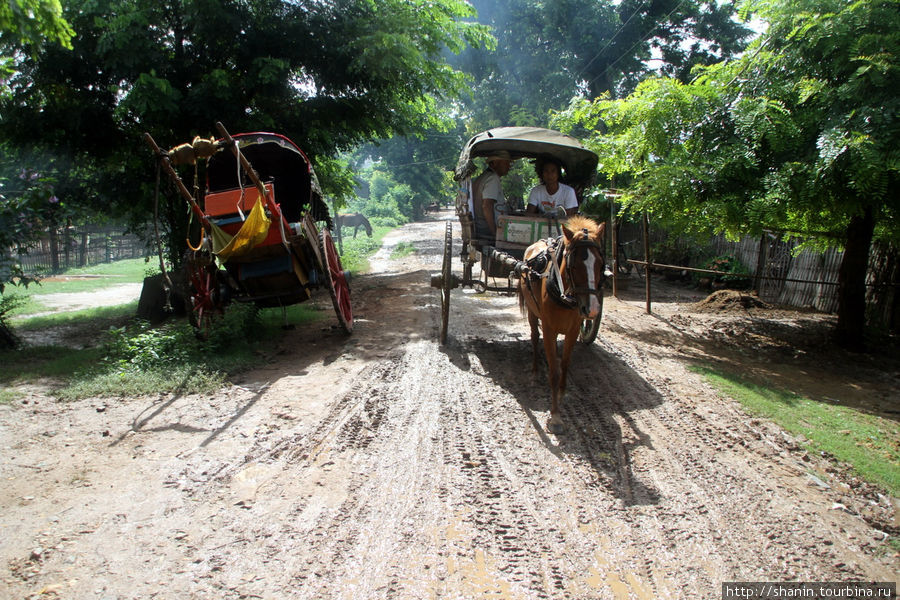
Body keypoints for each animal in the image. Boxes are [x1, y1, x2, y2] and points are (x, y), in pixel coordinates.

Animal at [516, 216, 608, 432]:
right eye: (574, 264)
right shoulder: (549, 329)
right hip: (532, 312)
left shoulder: (573, 330)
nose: (592, 309)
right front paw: (556, 415)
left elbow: (565, 363)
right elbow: (554, 372)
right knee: (534, 338)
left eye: (600, 264)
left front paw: (561, 393)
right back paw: (535, 371)